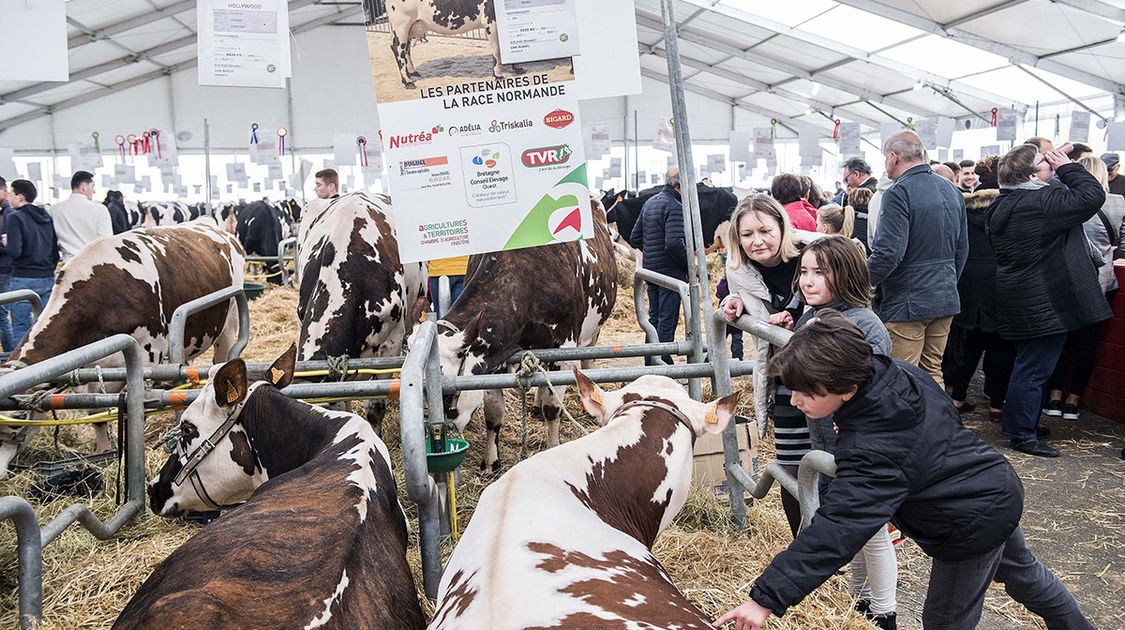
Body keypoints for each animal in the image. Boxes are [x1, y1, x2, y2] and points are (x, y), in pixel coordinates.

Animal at [0, 220, 244, 477]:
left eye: (18, 419)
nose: (2, 473)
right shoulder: (88, 374)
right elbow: (96, 415)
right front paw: (104, 452)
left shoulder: (147, 358)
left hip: (227, 325)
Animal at [434, 194, 621, 470]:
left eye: (447, 396)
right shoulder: (492, 356)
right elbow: (494, 412)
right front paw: (491, 460)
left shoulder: (564, 347)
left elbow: (553, 408)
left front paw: (553, 446)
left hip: (592, 333)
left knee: (587, 362)